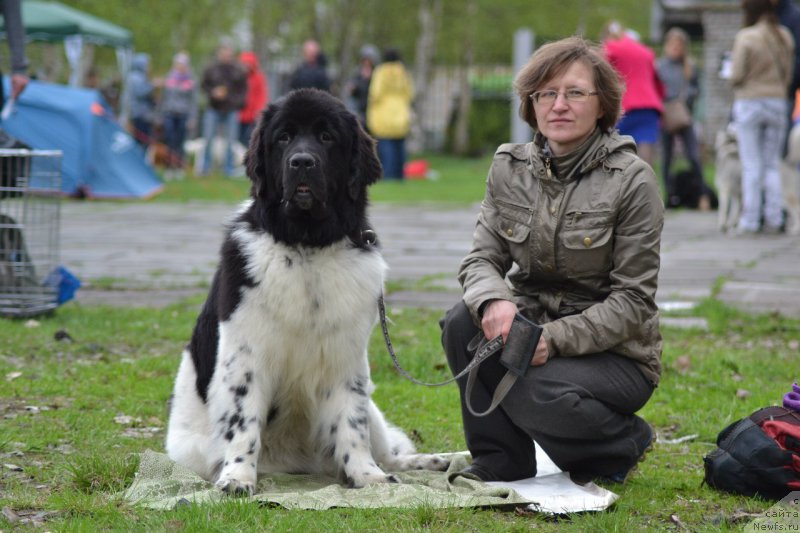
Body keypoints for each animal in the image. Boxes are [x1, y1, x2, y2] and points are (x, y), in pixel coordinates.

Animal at [164, 89, 450, 492]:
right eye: (283, 138)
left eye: (327, 137)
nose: (301, 161)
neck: (306, 245)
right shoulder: (246, 355)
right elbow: (243, 422)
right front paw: (237, 477)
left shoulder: (347, 358)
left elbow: (351, 423)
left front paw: (367, 477)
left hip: (373, 408)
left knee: (388, 450)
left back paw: (433, 461)